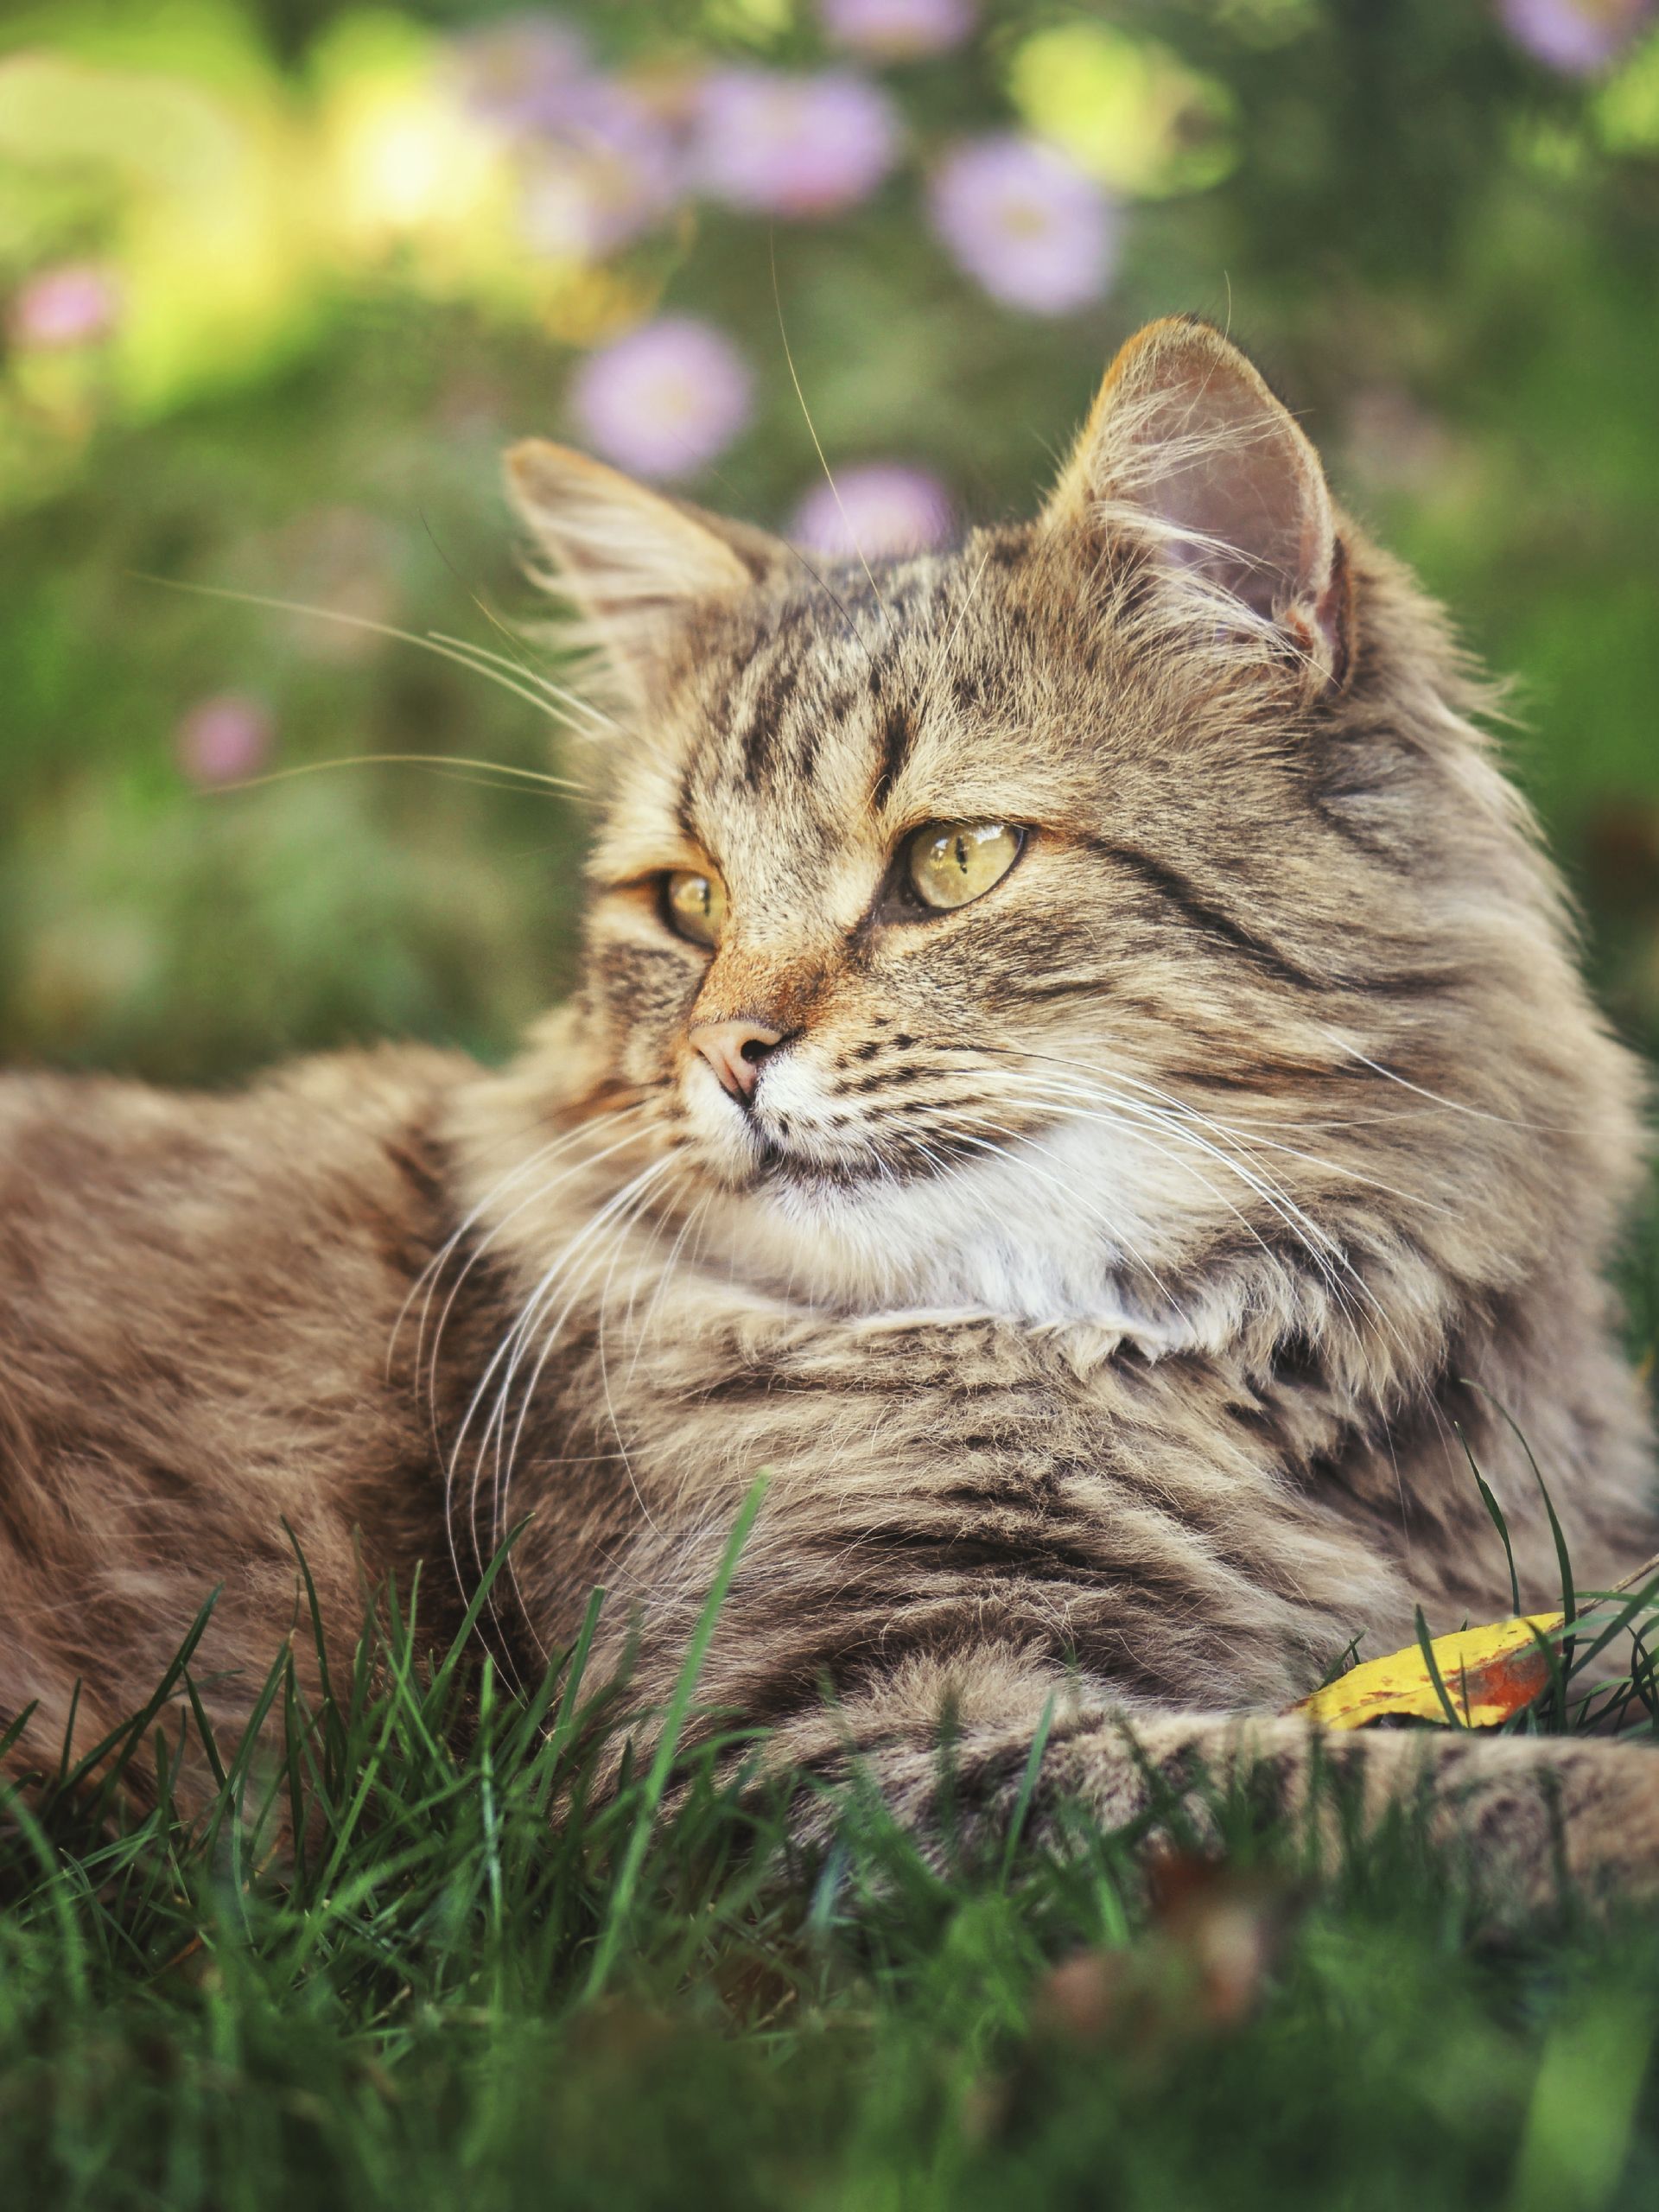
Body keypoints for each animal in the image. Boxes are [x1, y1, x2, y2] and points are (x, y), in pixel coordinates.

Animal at [3, 321, 1659, 1910]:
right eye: (690, 901)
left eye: (957, 861)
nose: (730, 1053)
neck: (1259, 1374)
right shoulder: (812, 1743)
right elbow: (1376, 1793)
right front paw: (1617, 1820)